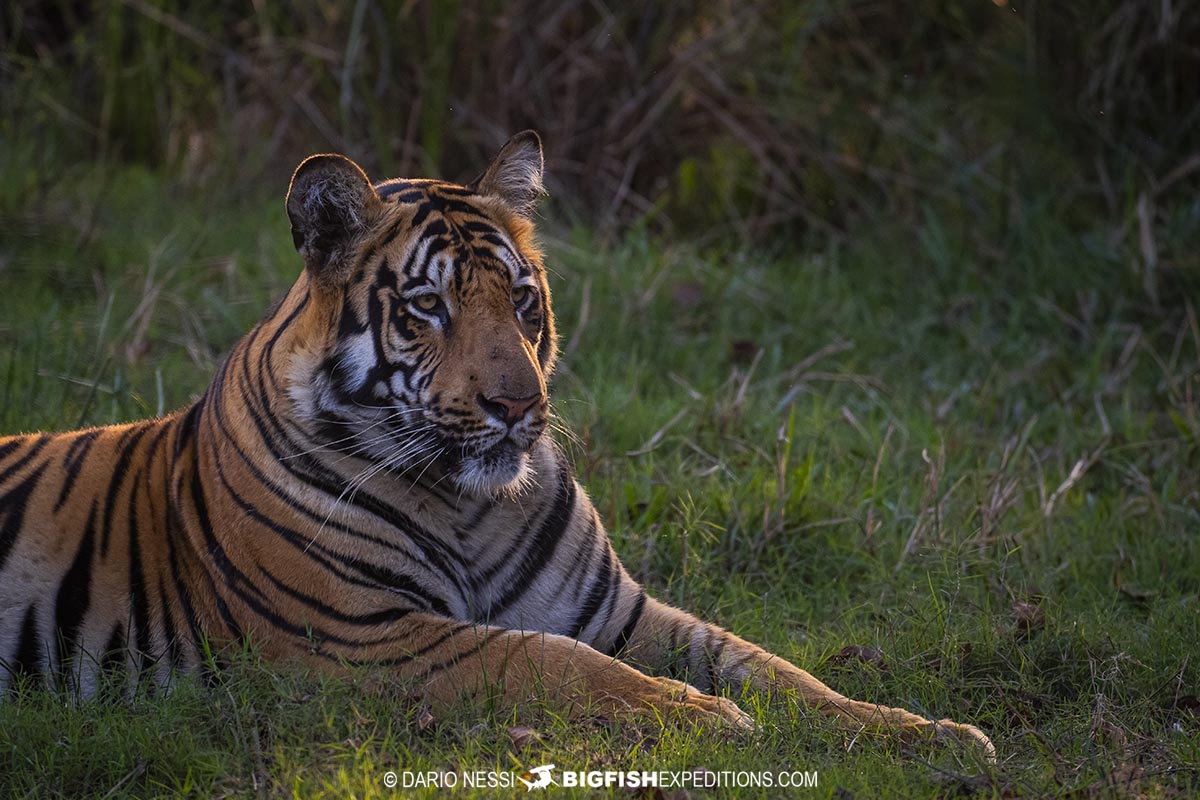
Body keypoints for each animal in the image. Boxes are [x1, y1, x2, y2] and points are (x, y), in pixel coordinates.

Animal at [0, 131, 994, 760]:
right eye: (428, 306)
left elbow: (778, 670)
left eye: (520, 299)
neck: (467, 504)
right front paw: (711, 725)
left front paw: (934, 735)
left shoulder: (618, 612)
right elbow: (553, 664)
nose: (519, 405)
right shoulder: (364, 639)